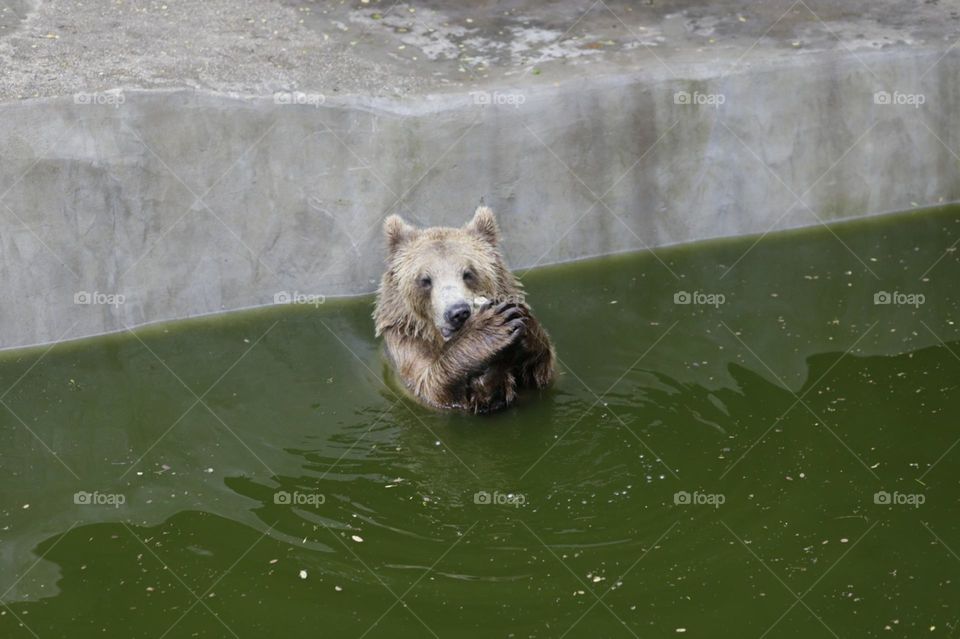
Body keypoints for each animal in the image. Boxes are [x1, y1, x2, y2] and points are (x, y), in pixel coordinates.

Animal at [373, 206, 556, 413]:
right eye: (425, 280)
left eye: (468, 273)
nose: (458, 312)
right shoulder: (407, 345)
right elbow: (430, 387)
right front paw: (492, 329)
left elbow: (540, 373)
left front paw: (520, 322)